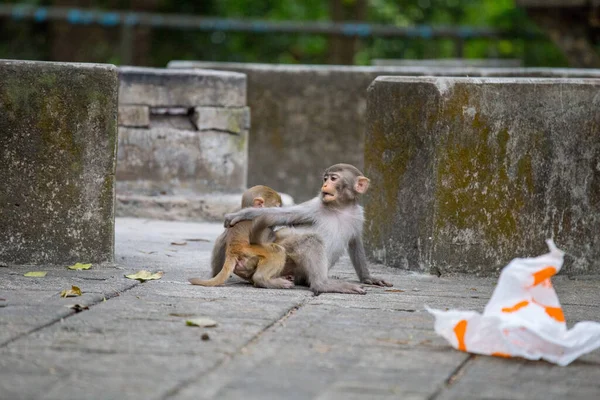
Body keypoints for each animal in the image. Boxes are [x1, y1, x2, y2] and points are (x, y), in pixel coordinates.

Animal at [223, 162, 392, 294]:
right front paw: (242, 214)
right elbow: (280, 215)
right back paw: (322, 285)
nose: (325, 185)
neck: (340, 208)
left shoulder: (357, 215)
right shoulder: (313, 207)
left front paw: (368, 278)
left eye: (333, 178)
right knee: (310, 240)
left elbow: (355, 243)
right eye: (325, 178)